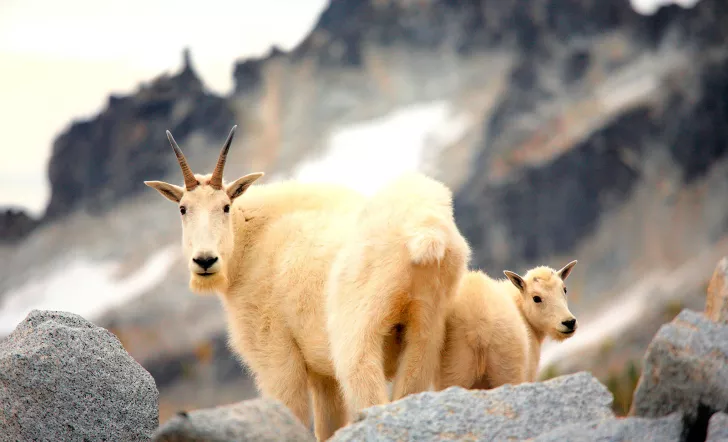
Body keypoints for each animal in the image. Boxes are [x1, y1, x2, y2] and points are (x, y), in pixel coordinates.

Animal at [146, 126, 472, 440]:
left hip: (358, 331)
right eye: (183, 208)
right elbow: (328, 426)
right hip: (425, 329)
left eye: (225, 206)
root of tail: (426, 229)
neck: (252, 241)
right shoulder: (321, 374)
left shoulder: (275, 352)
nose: (205, 261)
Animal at [432, 260, 580, 392]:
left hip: (454, 370)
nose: (569, 322)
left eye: (565, 289)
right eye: (536, 298)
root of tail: (478, 323)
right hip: (507, 368)